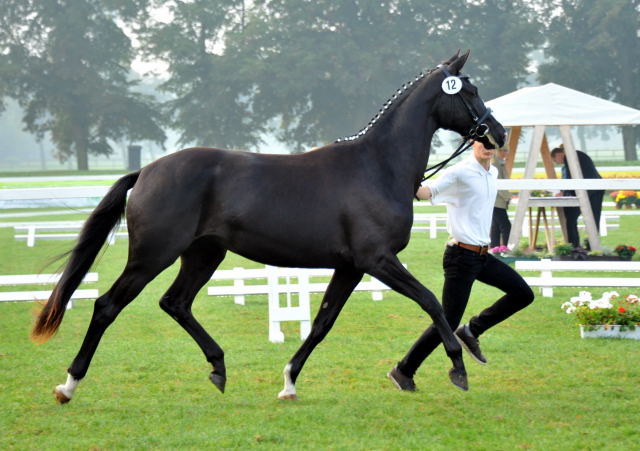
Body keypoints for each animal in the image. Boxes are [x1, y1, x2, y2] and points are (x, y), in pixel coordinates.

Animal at [33, 51, 504, 404]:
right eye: (471, 91)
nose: (496, 133)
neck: (378, 166)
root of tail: (146, 170)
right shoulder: (377, 260)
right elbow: (433, 302)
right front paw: (458, 366)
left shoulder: (351, 267)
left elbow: (321, 324)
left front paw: (289, 382)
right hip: (153, 255)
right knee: (107, 305)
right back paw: (68, 385)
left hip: (204, 254)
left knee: (175, 303)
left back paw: (218, 368)